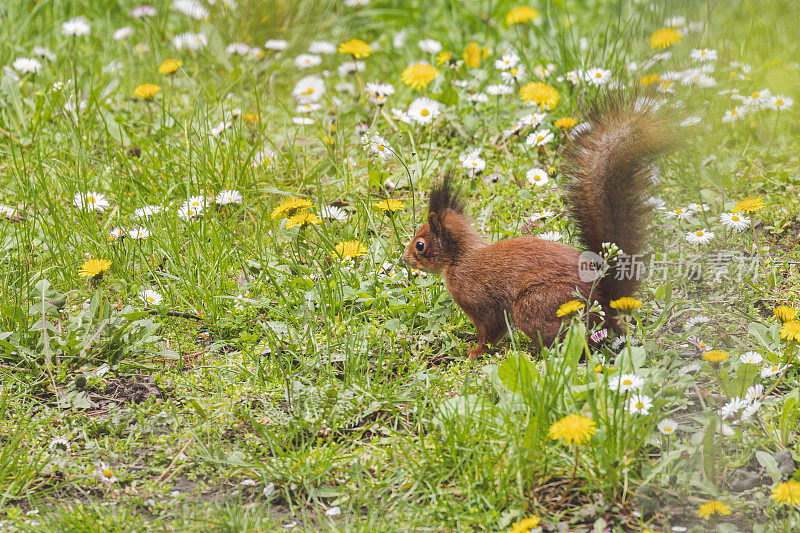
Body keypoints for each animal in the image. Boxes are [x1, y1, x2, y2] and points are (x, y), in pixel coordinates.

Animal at [404, 97, 672, 360]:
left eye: (420, 245)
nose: (404, 258)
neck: (459, 258)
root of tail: (604, 294)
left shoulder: (476, 297)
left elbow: (490, 330)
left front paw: (474, 352)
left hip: (537, 305)